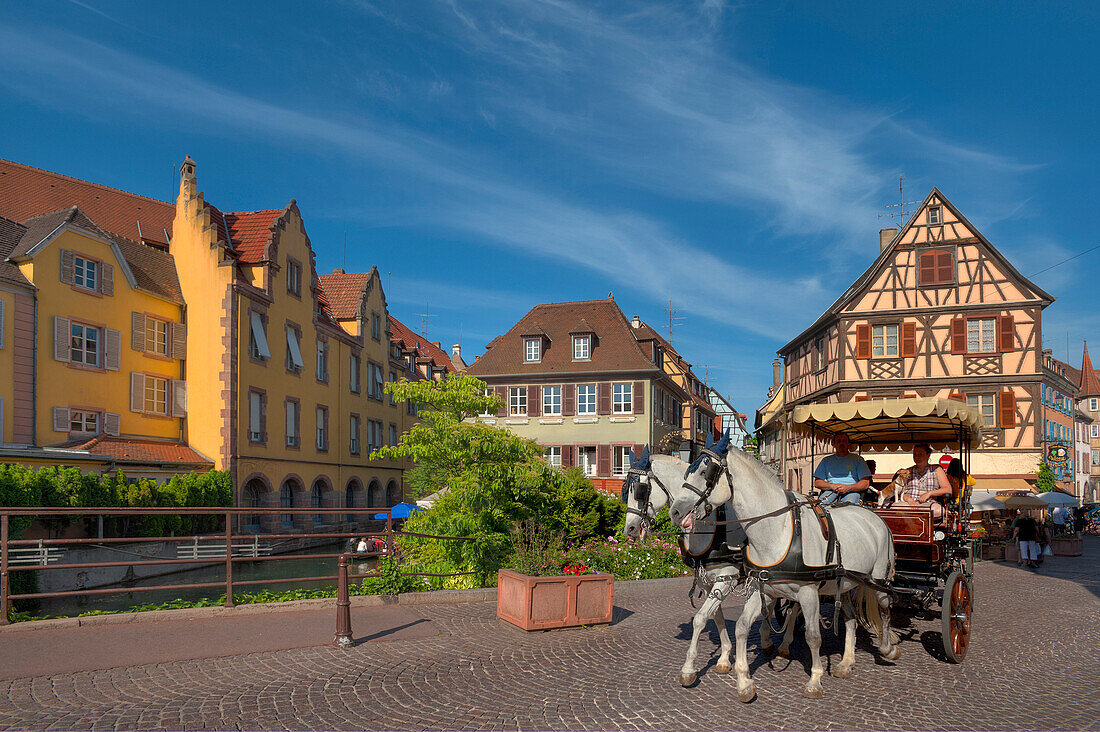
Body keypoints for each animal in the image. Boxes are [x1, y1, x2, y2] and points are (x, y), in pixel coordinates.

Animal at [620, 444, 800, 686]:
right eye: (625, 491)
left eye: (640, 489)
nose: (629, 528)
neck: (712, 525)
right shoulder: (707, 582)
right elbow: (716, 617)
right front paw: (724, 658)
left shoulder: (727, 579)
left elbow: (700, 619)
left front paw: (689, 668)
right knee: (770, 604)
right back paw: (766, 640)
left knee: (795, 606)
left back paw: (785, 645)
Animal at [664, 440, 897, 704]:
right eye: (687, 473)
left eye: (706, 473)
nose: (675, 512)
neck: (778, 529)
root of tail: (874, 516)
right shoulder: (760, 588)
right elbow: (740, 626)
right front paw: (744, 681)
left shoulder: (807, 592)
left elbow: (813, 637)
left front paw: (814, 681)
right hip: (845, 583)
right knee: (850, 619)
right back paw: (846, 662)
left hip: (878, 580)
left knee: (885, 608)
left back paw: (888, 648)